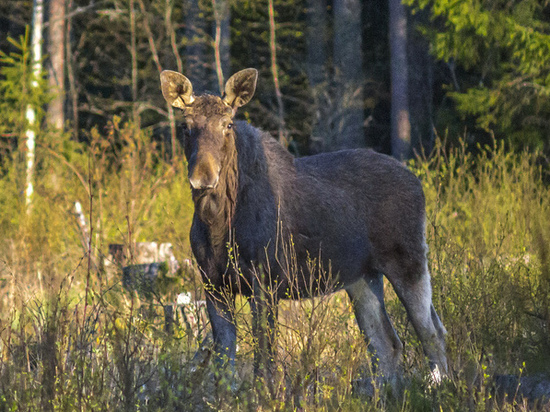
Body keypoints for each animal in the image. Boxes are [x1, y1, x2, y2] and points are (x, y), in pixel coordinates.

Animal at [161, 68, 448, 390]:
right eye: (185, 126)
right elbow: (224, 363)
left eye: (228, 124)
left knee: (433, 332)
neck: (217, 223)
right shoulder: (213, 284)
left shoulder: (265, 281)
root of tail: (418, 182)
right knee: (387, 342)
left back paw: (438, 387)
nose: (203, 177)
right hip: (361, 277)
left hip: (408, 260)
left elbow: (264, 359)